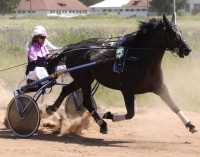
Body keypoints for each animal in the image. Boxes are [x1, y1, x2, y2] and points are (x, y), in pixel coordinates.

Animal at [46, 14, 198, 134]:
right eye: (173, 32)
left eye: (180, 31)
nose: (187, 49)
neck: (139, 58)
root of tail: (75, 47)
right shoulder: (127, 90)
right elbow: (130, 114)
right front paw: (108, 115)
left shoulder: (159, 87)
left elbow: (173, 105)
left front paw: (190, 125)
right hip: (83, 79)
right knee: (87, 102)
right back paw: (102, 124)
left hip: (83, 78)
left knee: (66, 89)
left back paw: (51, 108)